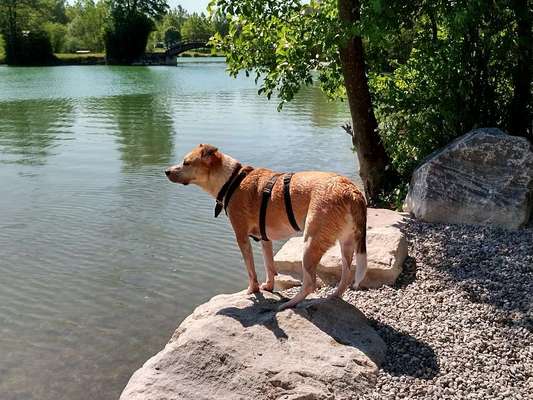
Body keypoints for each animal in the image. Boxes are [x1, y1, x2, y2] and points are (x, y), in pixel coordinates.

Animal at [165, 144, 366, 310]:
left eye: (186, 162)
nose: (166, 171)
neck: (231, 180)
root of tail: (351, 191)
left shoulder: (241, 236)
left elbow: (251, 270)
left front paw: (252, 290)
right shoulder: (264, 239)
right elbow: (269, 265)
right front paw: (268, 287)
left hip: (310, 243)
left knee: (310, 283)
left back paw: (289, 304)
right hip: (346, 244)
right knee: (346, 276)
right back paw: (332, 297)